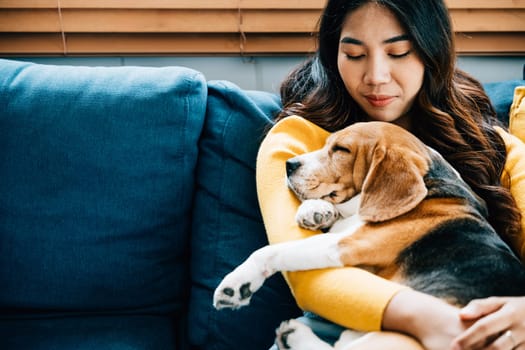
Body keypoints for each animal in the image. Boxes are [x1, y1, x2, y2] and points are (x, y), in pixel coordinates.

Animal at [211, 121, 524, 348]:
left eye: (341, 149)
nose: (289, 165)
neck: (431, 184)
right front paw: (316, 210)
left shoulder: (347, 245)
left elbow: (271, 251)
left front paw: (237, 283)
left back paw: (294, 335)